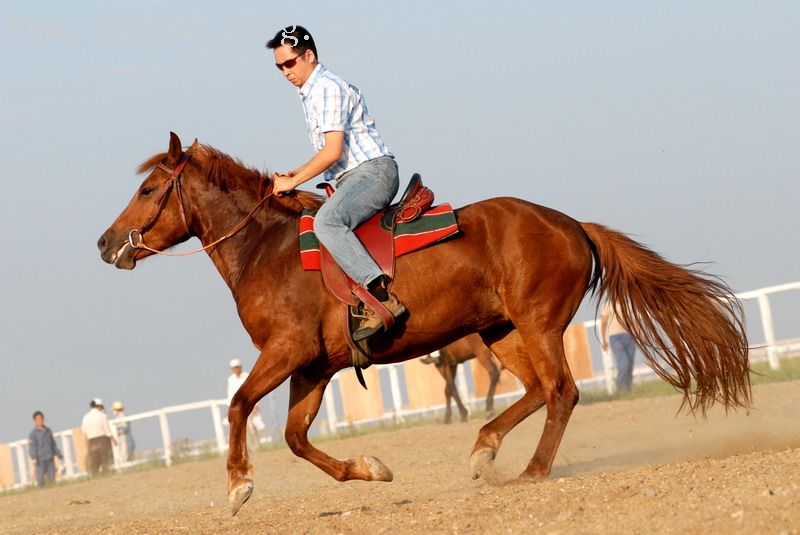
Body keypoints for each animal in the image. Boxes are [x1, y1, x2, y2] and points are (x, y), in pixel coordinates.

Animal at [98, 133, 752, 516]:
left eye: (149, 189)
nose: (106, 243)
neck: (269, 251)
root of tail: (570, 224)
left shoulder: (284, 352)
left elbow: (238, 407)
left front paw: (237, 486)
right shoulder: (313, 367)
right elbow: (295, 437)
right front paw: (370, 468)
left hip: (537, 322)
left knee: (562, 391)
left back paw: (531, 472)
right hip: (501, 332)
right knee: (538, 390)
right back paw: (485, 450)